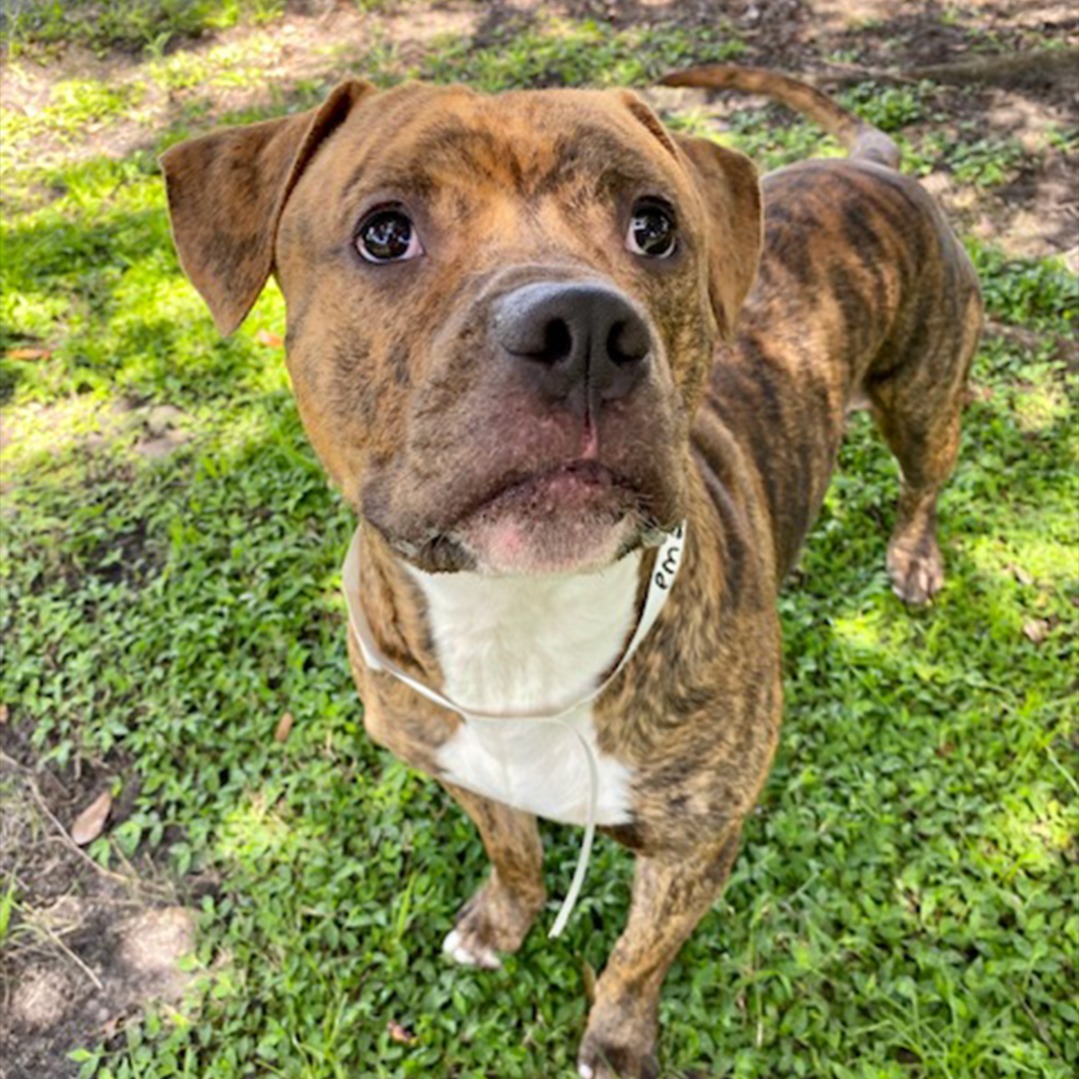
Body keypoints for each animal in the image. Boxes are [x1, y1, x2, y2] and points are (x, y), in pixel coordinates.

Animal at [161, 63, 981, 1078]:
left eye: (654, 226)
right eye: (384, 233)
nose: (585, 327)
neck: (517, 622)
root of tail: (869, 163)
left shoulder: (692, 847)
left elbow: (637, 955)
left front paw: (616, 1040)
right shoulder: (461, 770)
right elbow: (513, 853)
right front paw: (498, 921)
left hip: (924, 396)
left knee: (922, 481)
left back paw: (913, 557)